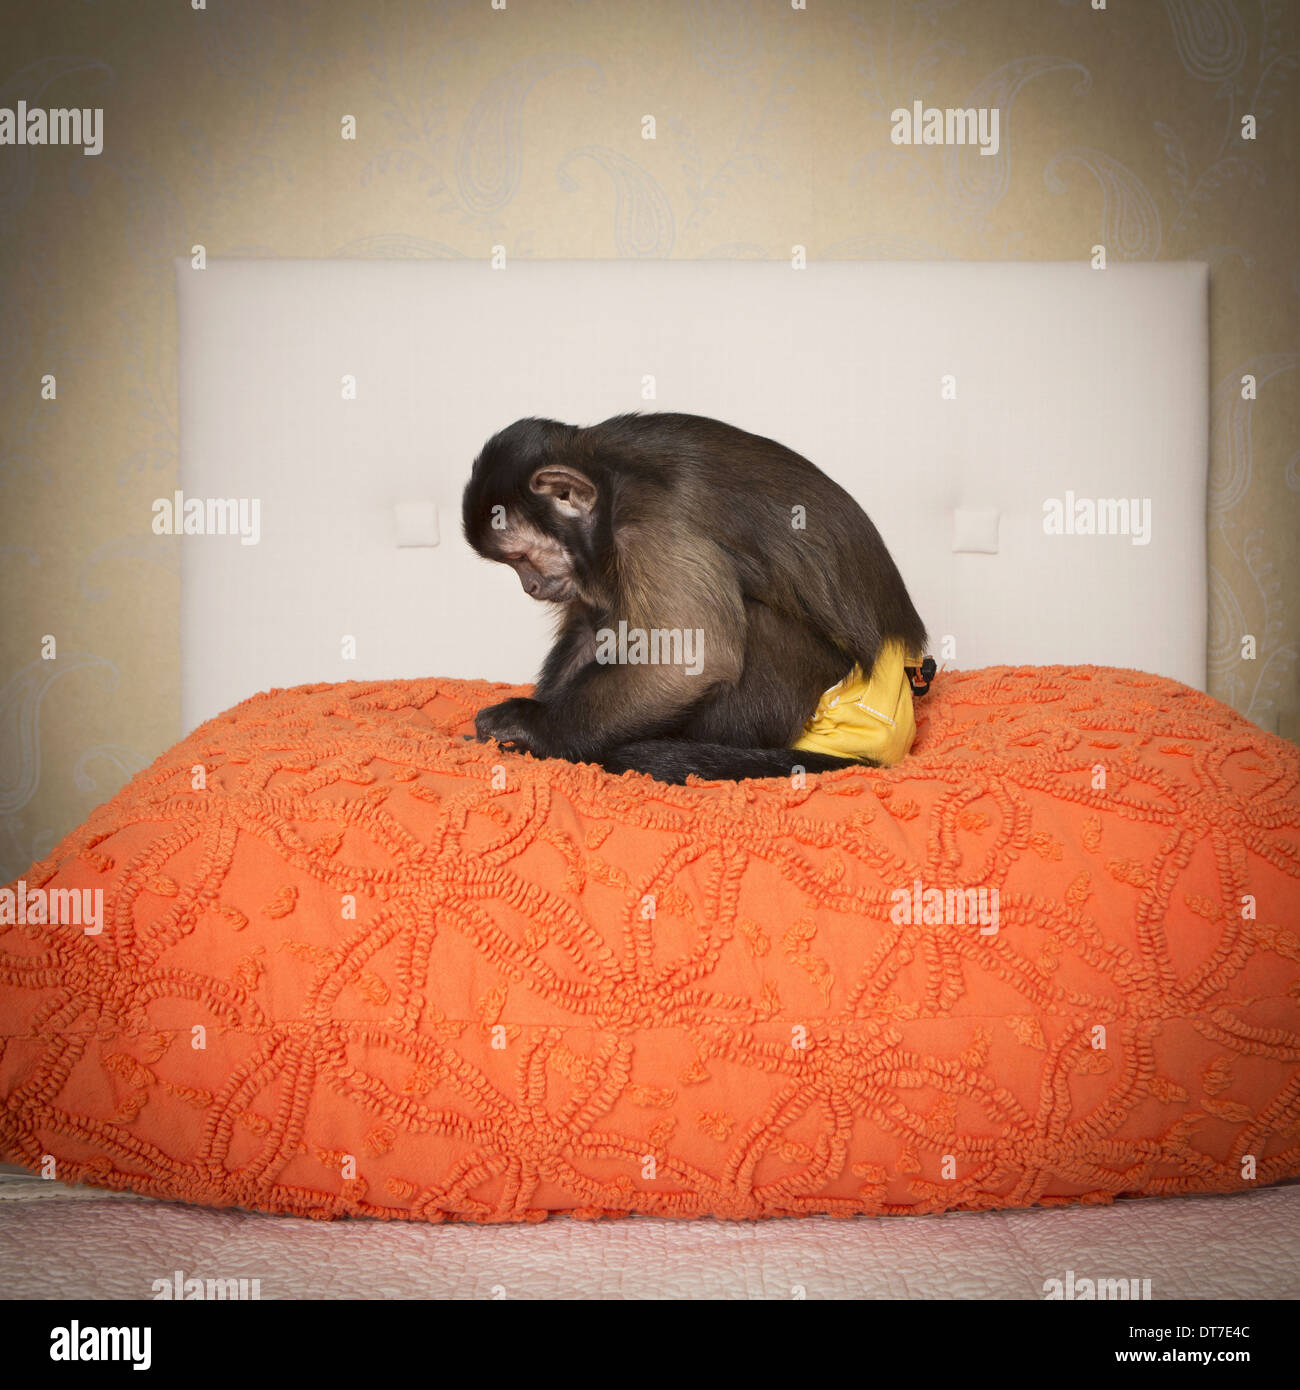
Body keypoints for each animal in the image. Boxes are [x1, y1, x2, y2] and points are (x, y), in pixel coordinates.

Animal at [458, 408, 923, 783]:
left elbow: (691, 659)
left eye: (520, 557)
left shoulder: (652, 524)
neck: (609, 483)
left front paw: (530, 724)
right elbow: (594, 628)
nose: (530, 585)